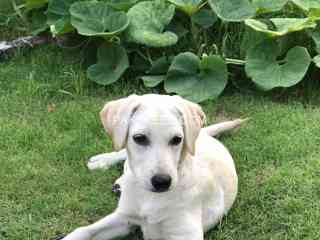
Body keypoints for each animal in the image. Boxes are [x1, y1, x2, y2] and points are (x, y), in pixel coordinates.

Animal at [61, 94, 244, 240]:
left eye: (177, 139)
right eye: (139, 138)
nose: (162, 181)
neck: (151, 198)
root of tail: (203, 134)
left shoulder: (186, 233)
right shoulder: (124, 218)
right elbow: (83, 230)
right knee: (122, 154)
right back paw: (102, 161)